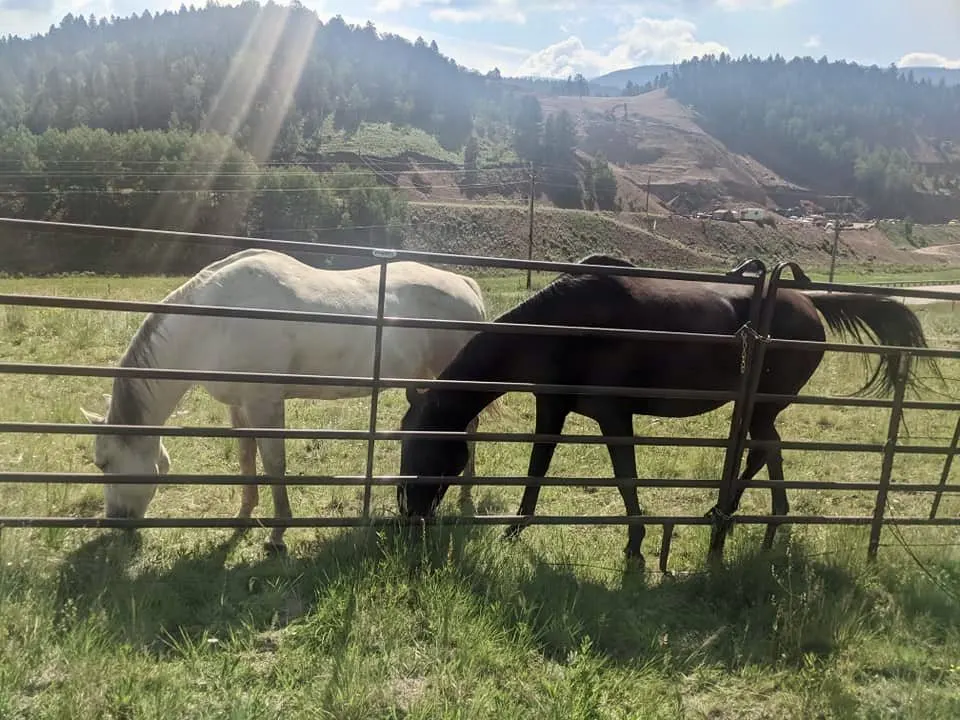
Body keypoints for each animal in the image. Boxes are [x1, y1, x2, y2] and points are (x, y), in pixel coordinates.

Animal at [80, 247, 489, 552]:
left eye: (103, 462)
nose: (115, 521)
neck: (214, 321)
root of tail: (465, 284)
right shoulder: (239, 405)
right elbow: (246, 456)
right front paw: (244, 515)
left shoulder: (265, 403)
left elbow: (274, 462)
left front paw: (278, 533)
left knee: (469, 428)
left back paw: (466, 496)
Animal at [396, 253, 935, 567]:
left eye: (425, 449)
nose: (407, 517)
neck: (562, 325)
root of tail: (811, 305)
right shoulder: (553, 407)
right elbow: (537, 470)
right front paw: (515, 529)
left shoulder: (612, 416)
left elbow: (624, 477)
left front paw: (635, 543)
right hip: (760, 410)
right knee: (767, 451)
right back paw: (739, 517)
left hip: (761, 408)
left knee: (765, 450)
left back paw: (750, 519)